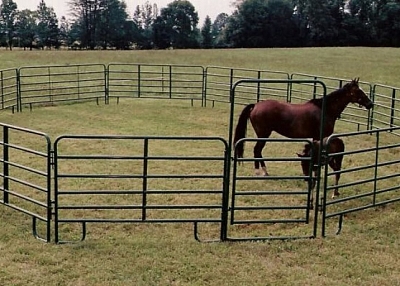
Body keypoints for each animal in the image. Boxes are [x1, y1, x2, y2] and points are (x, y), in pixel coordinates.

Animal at [233, 79, 374, 175]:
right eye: (358, 91)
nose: (370, 104)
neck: (325, 109)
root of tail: (255, 106)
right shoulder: (320, 137)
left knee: (258, 151)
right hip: (263, 134)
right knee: (257, 150)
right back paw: (260, 172)